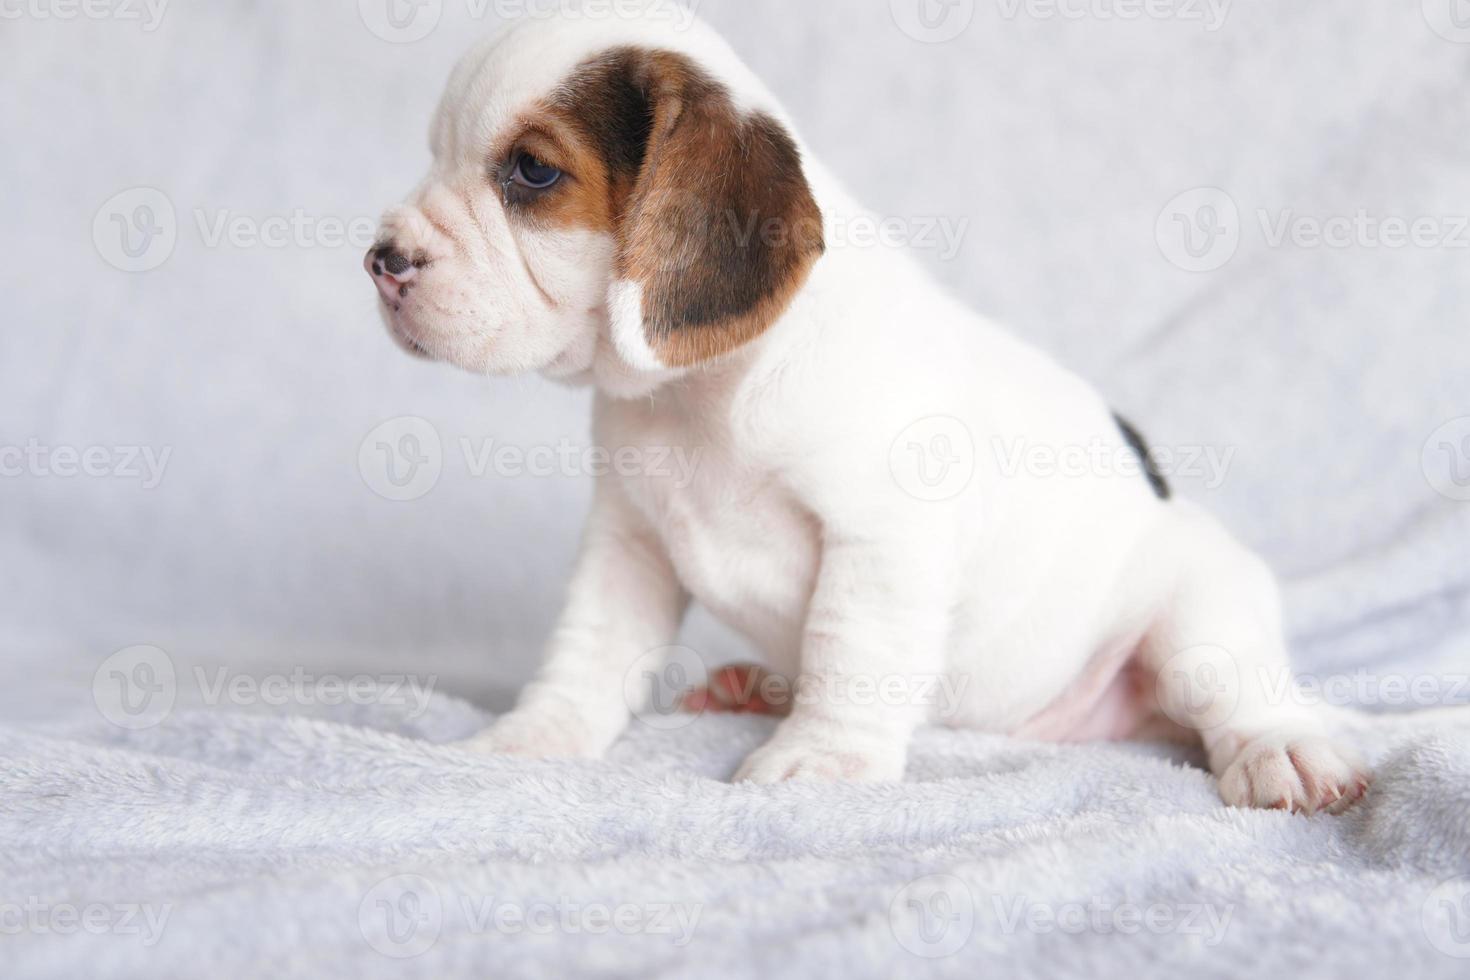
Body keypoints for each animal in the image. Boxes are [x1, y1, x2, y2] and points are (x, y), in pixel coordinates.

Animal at [364, 1, 1364, 811]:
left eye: (532, 173)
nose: (380, 259)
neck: (703, 395)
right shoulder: (627, 544)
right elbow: (590, 646)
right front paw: (538, 735)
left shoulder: (881, 543)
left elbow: (853, 651)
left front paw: (825, 760)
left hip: (1199, 611)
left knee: (1235, 693)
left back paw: (1283, 750)